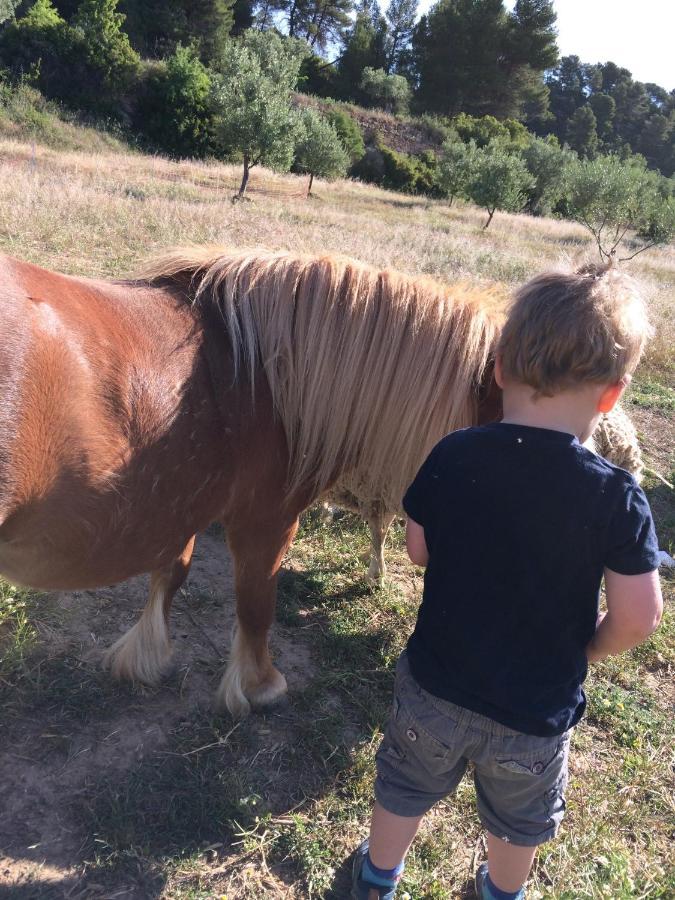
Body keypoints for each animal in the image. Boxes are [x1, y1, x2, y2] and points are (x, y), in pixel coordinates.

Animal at [0, 246, 502, 716]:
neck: (273, 375)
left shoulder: (181, 504)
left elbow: (171, 573)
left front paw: (145, 655)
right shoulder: (267, 519)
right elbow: (256, 601)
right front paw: (261, 686)